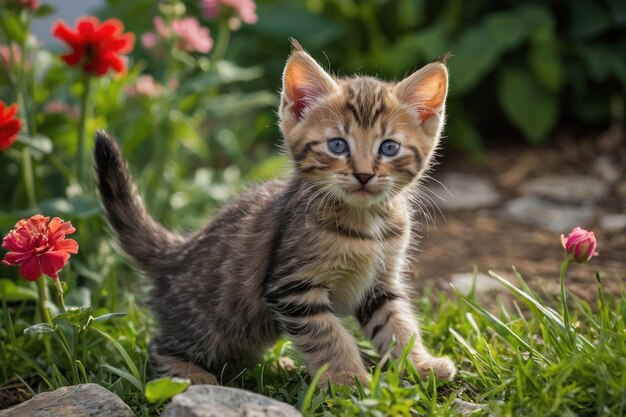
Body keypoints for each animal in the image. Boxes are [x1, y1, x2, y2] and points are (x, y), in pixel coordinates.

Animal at [94, 40, 454, 386]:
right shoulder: (292, 287)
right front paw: (348, 378)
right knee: (157, 348)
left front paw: (420, 364)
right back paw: (188, 373)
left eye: (389, 147)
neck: (367, 225)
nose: (364, 175)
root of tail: (178, 252)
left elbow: (397, 325)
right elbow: (329, 335)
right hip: (207, 324)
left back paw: (271, 366)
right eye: (337, 145)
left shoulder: (380, 284)